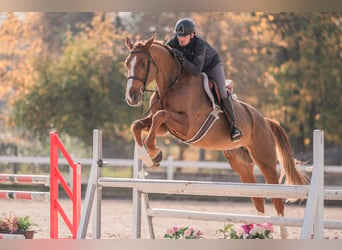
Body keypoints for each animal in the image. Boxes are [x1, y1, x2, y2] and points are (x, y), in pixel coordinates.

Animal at [123, 34, 308, 238]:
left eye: (142, 63)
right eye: (127, 63)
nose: (131, 97)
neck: (173, 84)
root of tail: (265, 121)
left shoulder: (187, 126)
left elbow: (159, 116)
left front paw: (155, 154)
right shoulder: (165, 128)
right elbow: (137, 125)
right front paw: (146, 156)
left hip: (265, 161)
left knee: (276, 196)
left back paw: (281, 231)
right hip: (241, 164)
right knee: (258, 198)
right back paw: (258, 230)